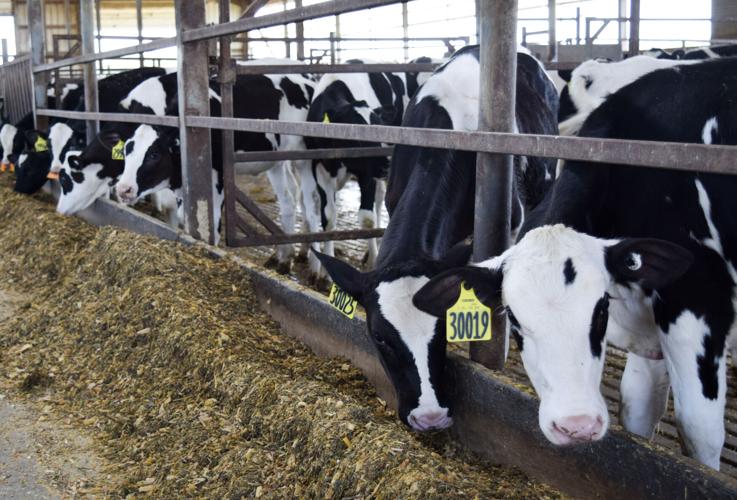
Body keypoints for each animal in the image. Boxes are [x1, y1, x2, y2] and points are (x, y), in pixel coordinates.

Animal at [115, 72, 316, 254]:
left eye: (154, 154)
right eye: (125, 150)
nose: (123, 189)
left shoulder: (215, 179)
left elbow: (210, 225)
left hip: (305, 156)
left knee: (312, 202)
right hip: (275, 160)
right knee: (288, 199)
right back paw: (283, 259)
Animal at [304, 58, 436, 278]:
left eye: (379, 129)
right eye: (355, 137)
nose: (386, 165)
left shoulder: (367, 173)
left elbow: (367, 220)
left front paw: (374, 262)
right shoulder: (319, 168)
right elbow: (328, 218)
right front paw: (325, 273)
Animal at [413, 58, 737, 470]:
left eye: (600, 311)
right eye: (514, 320)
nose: (577, 426)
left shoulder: (698, 304)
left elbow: (699, 431)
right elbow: (637, 410)